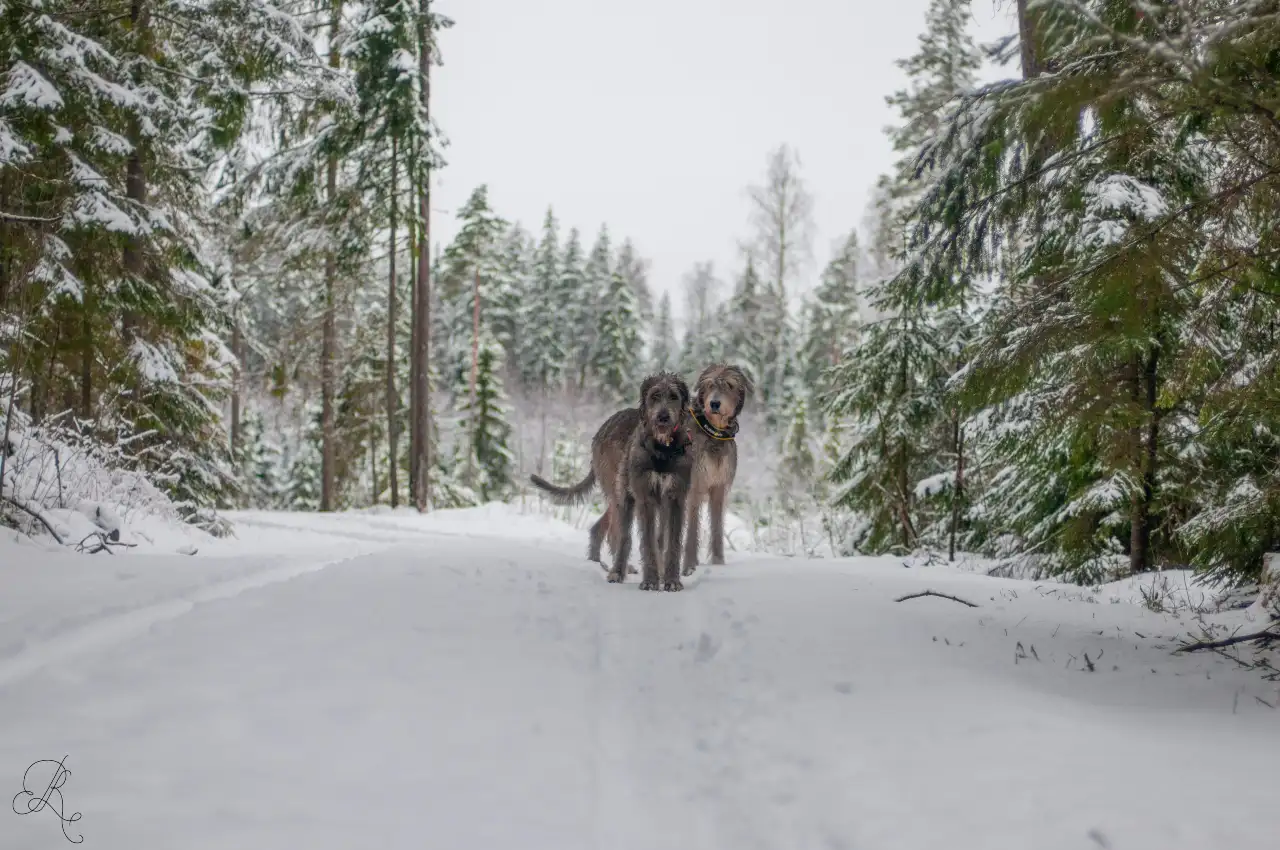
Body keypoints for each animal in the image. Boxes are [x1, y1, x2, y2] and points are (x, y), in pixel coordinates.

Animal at [527, 371, 696, 591]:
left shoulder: (675, 497)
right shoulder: (645, 497)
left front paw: (671, 581)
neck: (663, 449)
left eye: (674, 396)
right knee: (620, 534)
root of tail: (600, 430)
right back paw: (617, 571)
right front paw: (650, 581)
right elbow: (647, 542)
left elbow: (672, 542)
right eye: (655, 396)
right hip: (621, 494)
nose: (663, 417)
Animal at [686, 360, 752, 573]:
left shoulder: (719, 486)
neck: (713, 433)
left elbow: (717, 526)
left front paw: (718, 563)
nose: (714, 404)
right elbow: (691, 529)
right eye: (708, 385)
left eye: (729, 385)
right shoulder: (694, 484)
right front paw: (689, 567)